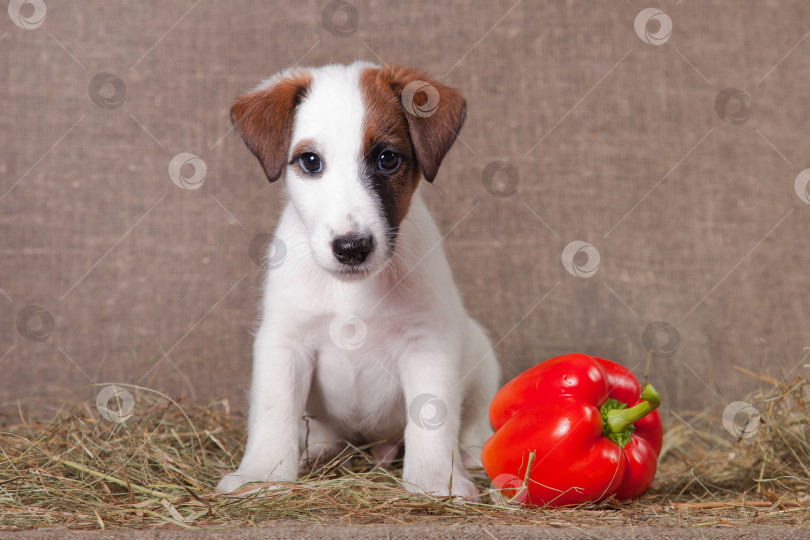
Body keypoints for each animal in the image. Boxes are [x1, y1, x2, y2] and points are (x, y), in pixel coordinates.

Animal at [218, 62, 502, 498]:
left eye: (386, 159)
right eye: (311, 161)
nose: (352, 248)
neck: (351, 291)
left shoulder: (428, 344)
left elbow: (432, 419)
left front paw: (435, 480)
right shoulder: (284, 341)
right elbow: (274, 412)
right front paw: (261, 474)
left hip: (481, 357)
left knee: (471, 423)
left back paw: (470, 454)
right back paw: (319, 450)